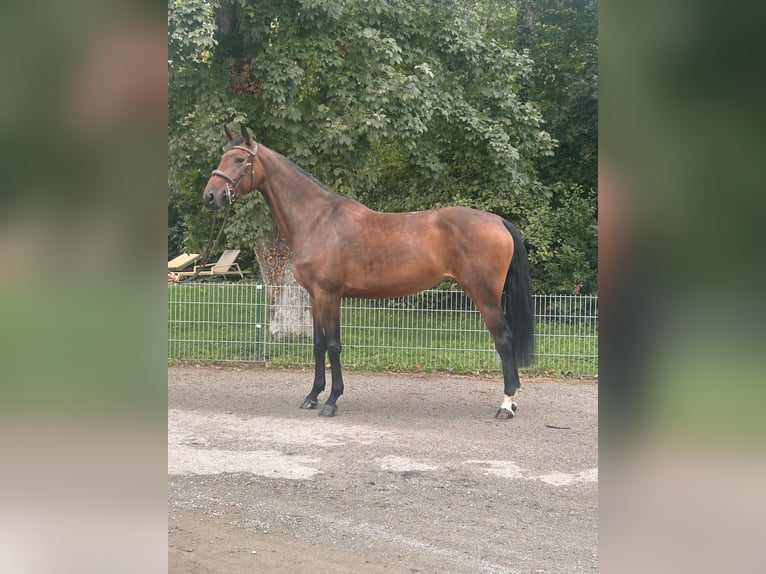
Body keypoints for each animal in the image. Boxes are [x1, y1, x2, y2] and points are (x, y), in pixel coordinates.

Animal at [204, 126, 536, 420]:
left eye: (239, 159)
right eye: (223, 156)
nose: (210, 196)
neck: (317, 219)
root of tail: (498, 221)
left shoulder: (329, 295)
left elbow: (334, 346)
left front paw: (332, 401)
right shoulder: (314, 297)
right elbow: (318, 346)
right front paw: (312, 396)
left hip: (484, 295)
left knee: (504, 340)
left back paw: (506, 405)